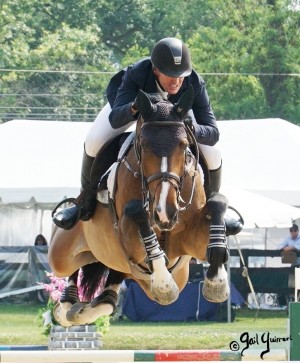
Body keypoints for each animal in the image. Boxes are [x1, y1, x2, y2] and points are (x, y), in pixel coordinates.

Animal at [48, 86, 230, 328]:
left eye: (183, 146)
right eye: (144, 146)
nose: (165, 212)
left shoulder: (191, 243)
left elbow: (217, 205)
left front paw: (217, 283)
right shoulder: (133, 243)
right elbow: (137, 213)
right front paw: (163, 284)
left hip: (156, 274)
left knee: (110, 290)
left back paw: (88, 307)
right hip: (62, 254)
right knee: (69, 271)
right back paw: (66, 306)